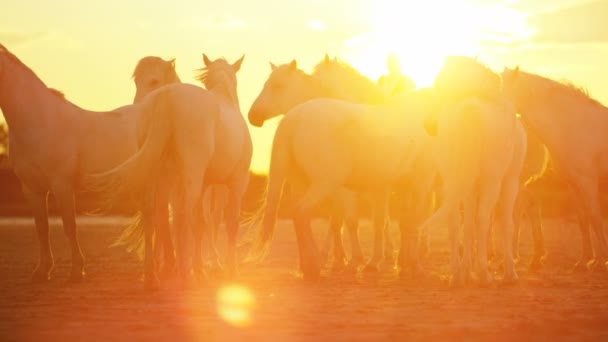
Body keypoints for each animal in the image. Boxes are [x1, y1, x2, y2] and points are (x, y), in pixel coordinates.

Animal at [0, 44, 180, 282]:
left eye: (153, 80)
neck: (40, 121)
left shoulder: (62, 185)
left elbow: (70, 227)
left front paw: (77, 270)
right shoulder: (31, 188)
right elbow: (41, 229)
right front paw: (42, 271)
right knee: (160, 220)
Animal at [84, 54, 251, 288]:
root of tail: (167, 98)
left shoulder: (204, 185)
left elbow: (202, 222)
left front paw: (202, 267)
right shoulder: (236, 183)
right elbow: (228, 223)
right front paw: (230, 271)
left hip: (156, 176)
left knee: (153, 214)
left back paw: (153, 276)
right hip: (189, 181)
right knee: (183, 218)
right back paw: (184, 273)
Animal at [245, 58, 434, 280]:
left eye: (278, 85)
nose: (253, 116)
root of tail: (294, 117)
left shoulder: (398, 186)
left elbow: (395, 222)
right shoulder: (409, 185)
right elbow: (388, 222)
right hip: (322, 185)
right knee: (300, 212)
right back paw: (312, 265)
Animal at [418, 56, 528, 286]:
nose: (430, 125)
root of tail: (469, 109)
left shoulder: (470, 186)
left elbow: (468, 224)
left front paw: (468, 270)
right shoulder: (510, 181)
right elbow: (505, 224)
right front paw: (509, 272)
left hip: (453, 180)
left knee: (454, 221)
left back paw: (457, 274)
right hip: (492, 181)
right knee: (484, 219)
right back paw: (485, 274)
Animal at [502, 66, 608, 272]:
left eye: (503, 89)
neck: (573, 126)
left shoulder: (587, 183)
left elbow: (595, 218)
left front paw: (601, 260)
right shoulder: (575, 184)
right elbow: (583, 220)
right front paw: (585, 260)